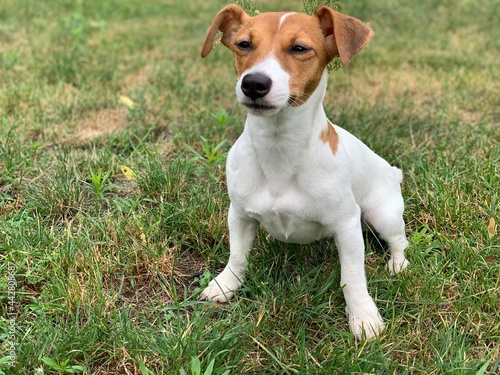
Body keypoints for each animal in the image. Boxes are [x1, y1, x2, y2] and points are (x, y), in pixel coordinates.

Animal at [197, 3, 408, 340]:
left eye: (299, 48)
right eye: (244, 44)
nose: (253, 83)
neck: (279, 148)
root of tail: (392, 172)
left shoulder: (347, 224)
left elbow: (352, 275)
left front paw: (363, 316)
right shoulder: (239, 214)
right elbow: (237, 255)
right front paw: (225, 284)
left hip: (382, 214)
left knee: (399, 241)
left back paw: (397, 265)